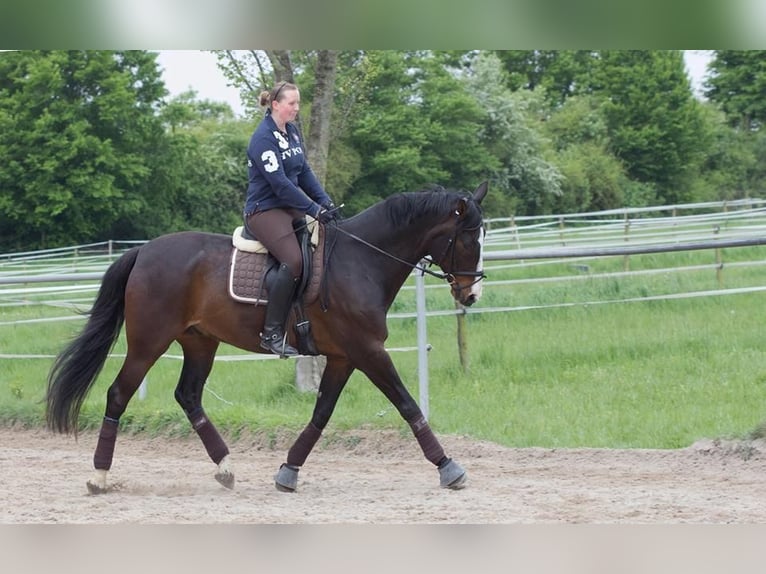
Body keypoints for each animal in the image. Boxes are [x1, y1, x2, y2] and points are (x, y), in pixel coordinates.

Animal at [48, 181, 488, 496]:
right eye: (469, 239)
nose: (471, 295)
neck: (361, 261)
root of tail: (142, 251)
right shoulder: (368, 351)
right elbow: (407, 404)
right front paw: (449, 467)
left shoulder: (344, 357)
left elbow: (321, 414)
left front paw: (288, 471)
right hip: (148, 342)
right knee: (118, 394)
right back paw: (100, 477)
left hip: (200, 342)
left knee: (188, 396)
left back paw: (225, 469)